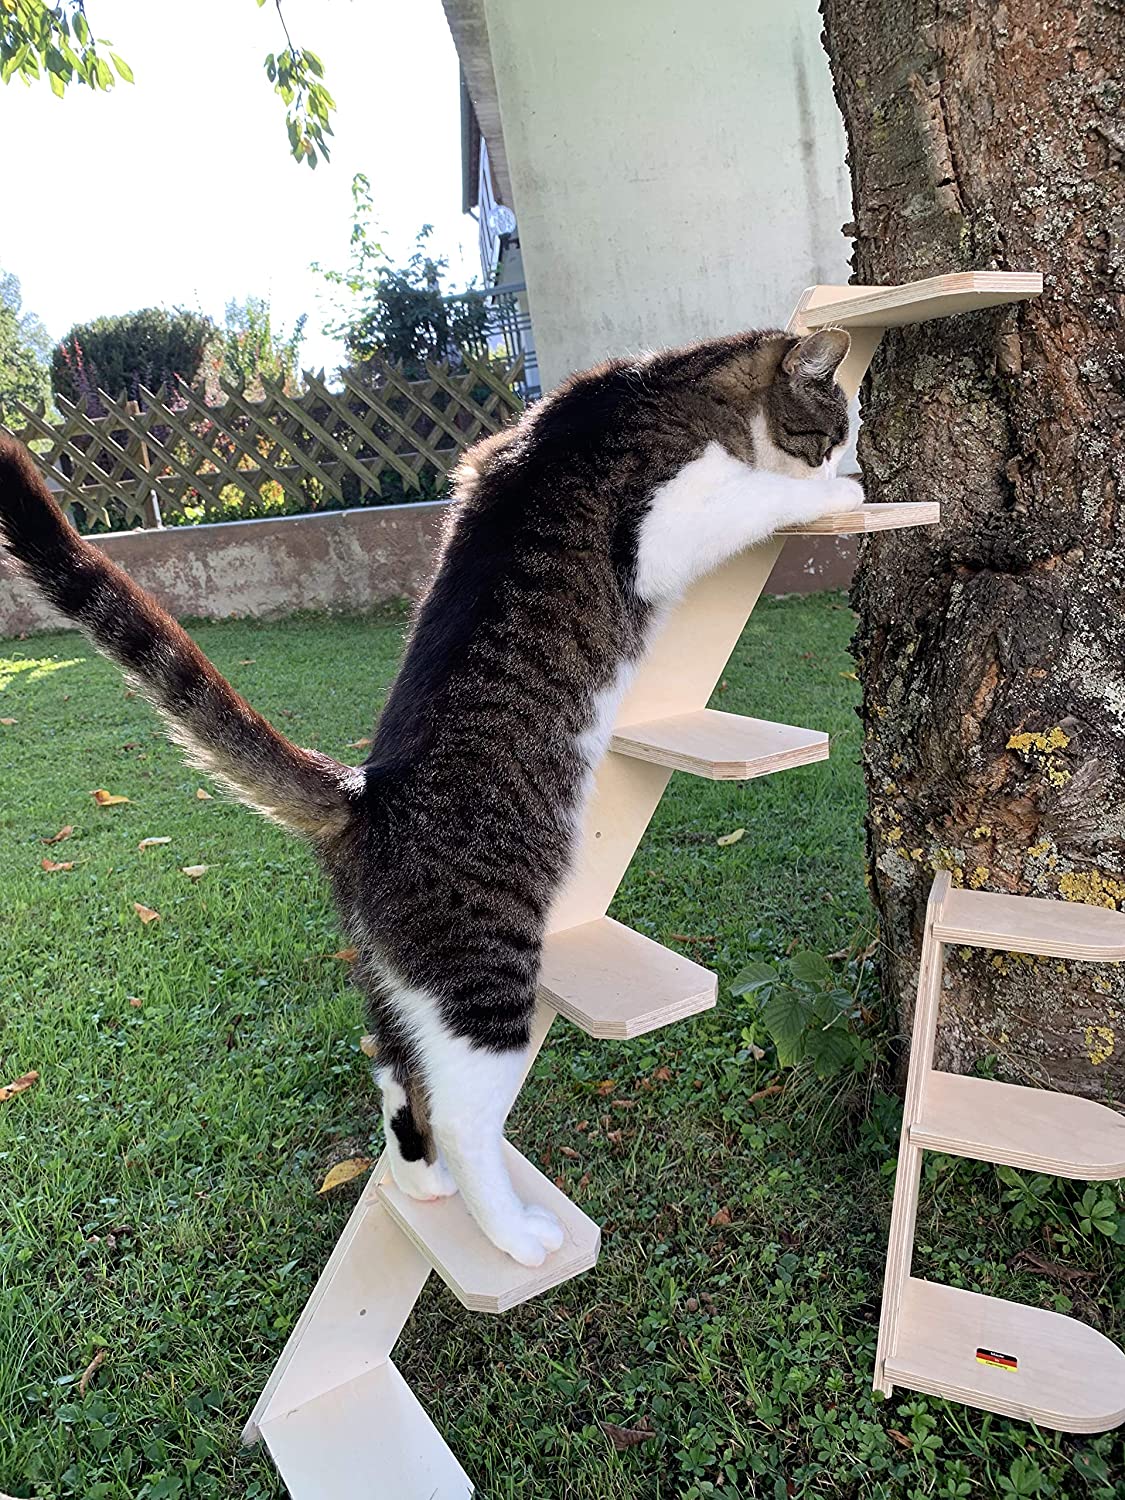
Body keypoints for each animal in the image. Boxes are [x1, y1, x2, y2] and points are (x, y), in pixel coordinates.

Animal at [0, 328, 864, 1266]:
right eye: (832, 432)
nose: (845, 456)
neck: (665, 386)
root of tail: (363, 798)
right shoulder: (666, 518)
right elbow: (755, 496)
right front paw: (835, 490)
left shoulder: (484, 452)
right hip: (482, 978)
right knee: (460, 1114)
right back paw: (516, 1235)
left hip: (396, 981)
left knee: (388, 1064)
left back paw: (420, 1182)